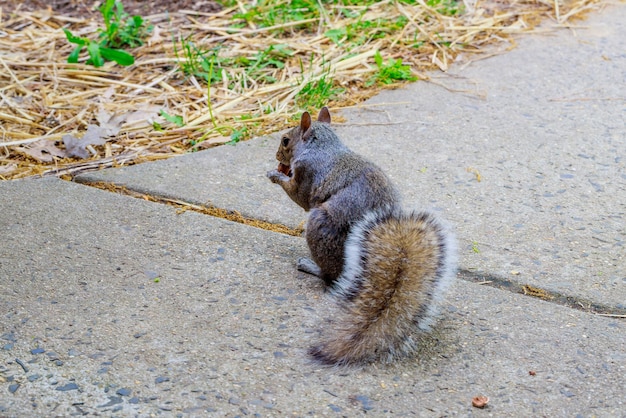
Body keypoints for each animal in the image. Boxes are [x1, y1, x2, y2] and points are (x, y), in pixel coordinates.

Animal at [266, 108, 456, 366]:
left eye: (285, 140)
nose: (276, 155)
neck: (322, 146)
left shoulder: (306, 174)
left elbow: (299, 196)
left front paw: (274, 175)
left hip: (319, 226)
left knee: (330, 277)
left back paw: (310, 266)